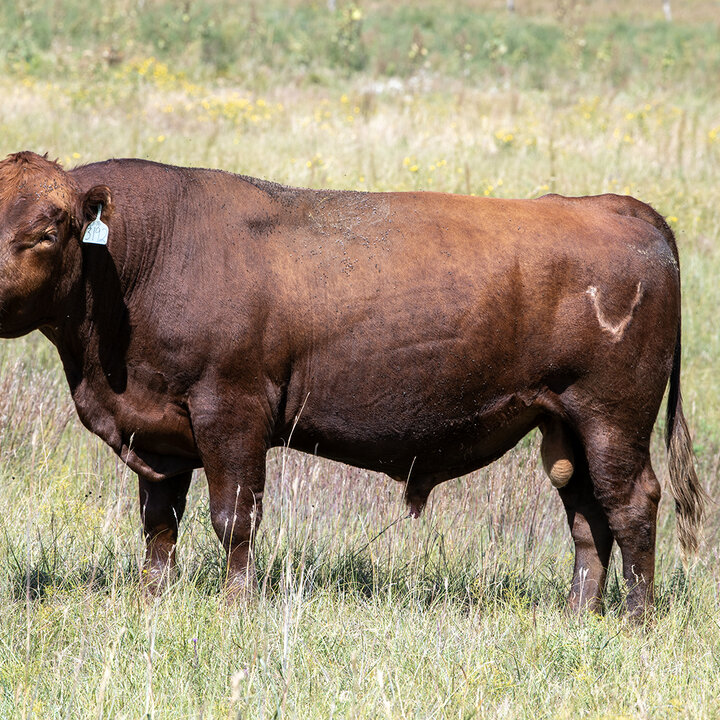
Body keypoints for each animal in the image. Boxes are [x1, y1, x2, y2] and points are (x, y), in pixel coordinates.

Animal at [0, 151, 705, 618]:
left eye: (48, 229)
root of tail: (619, 207)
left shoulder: (232, 411)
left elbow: (234, 518)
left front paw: (236, 607)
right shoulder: (157, 434)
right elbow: (158, 525)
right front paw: (152, 601)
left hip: (611, 417)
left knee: (631, 503)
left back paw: (636, 621)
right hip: (565, 425)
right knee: (587, 514)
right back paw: (579, 614)